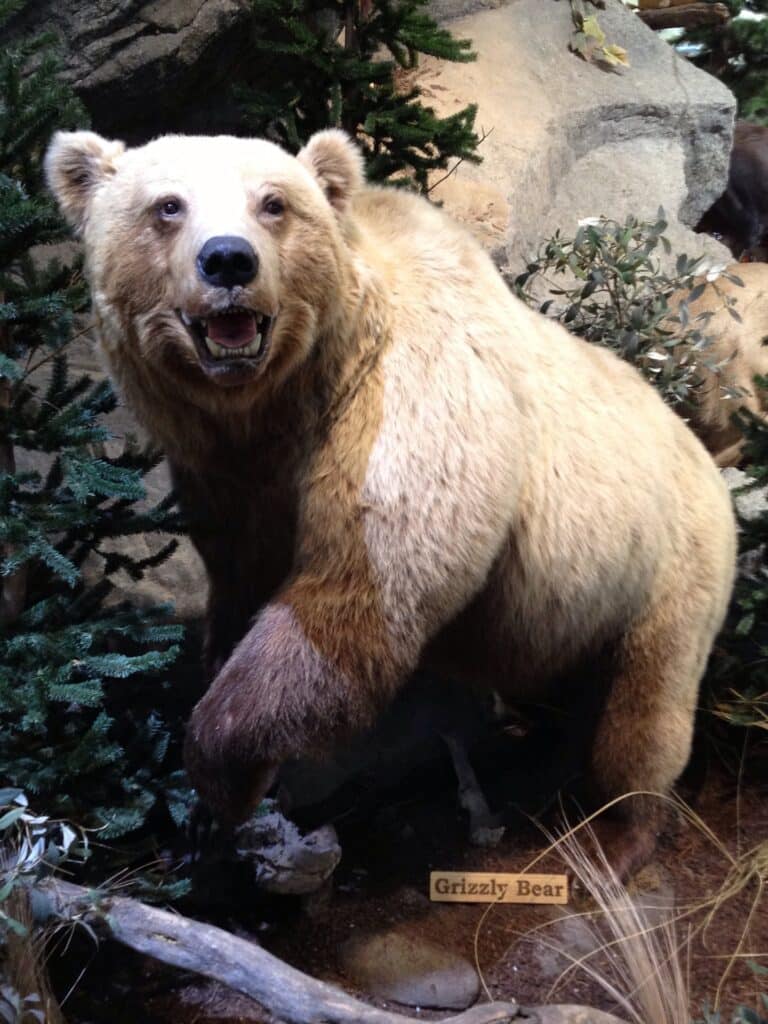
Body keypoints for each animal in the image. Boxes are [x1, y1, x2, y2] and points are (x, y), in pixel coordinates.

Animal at [43, 130, 741, 872]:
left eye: (273, 202)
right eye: (167, 205)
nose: (228, 259)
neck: (285, 403)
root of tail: (701, 451)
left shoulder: (406, 407)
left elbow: (359, 591)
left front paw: (215, 774)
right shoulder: (230, 484)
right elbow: (239, 589)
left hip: (666, 566)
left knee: (646, 711)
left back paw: (621, 832)